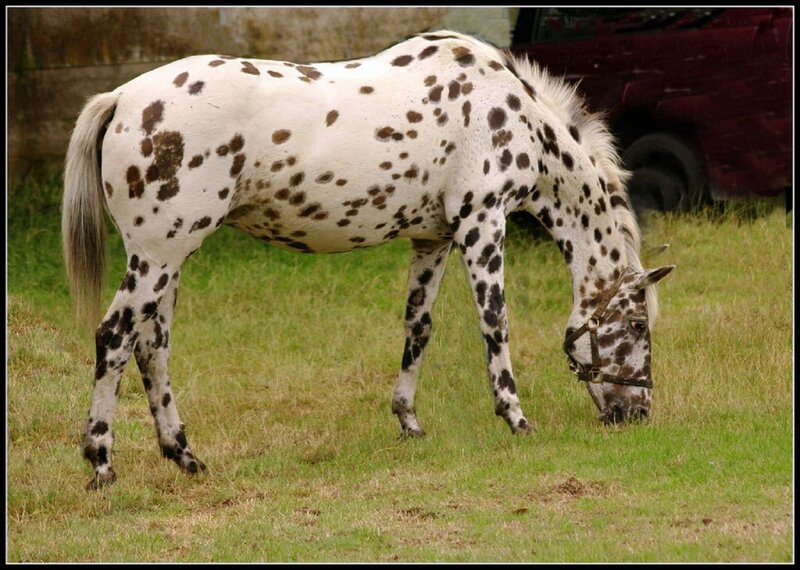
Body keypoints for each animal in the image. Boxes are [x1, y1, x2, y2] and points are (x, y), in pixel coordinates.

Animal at [63, 30, 674, 489]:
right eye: (636, 325)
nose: (638, 414)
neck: (508, 108)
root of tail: (121, 98)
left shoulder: (433, 239)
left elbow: (418, 327)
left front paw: (408, 422)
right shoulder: (483, 225)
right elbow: (495, 324)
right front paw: (517, 419)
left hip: (169, 260)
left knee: (152, 348)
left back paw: (186, 457)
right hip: (157, 257)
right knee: (115, 338)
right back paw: (102, 465)